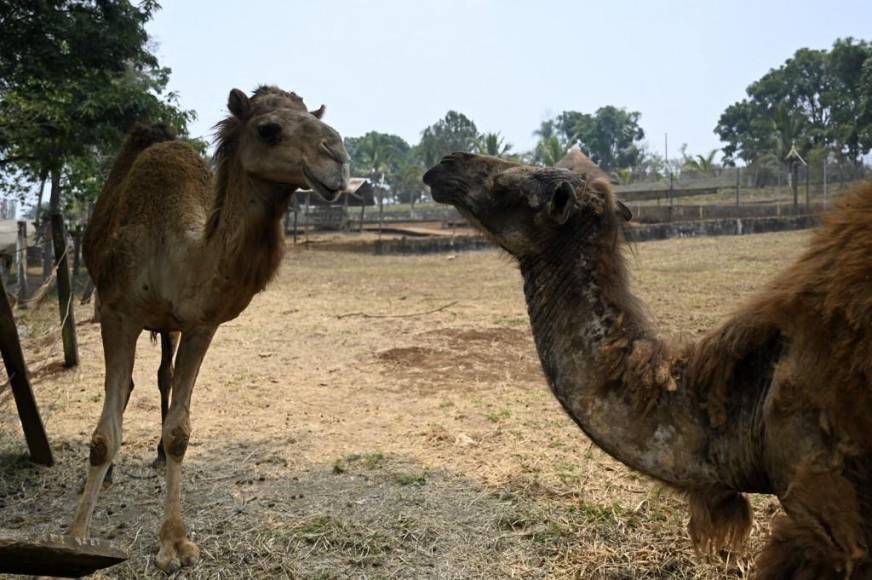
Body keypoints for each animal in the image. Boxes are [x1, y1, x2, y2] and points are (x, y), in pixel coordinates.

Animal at [71, 85, 350, 572]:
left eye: (313, 114)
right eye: (269, 129)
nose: (337, 155)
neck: (172, 250)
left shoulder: (201, 324)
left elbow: (180, 432)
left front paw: (174, 544)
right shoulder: (117, 313)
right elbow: (105, 434)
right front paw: (76, 535)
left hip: (169, 327)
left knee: (159, 376)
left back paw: (154, 458)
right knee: (125, 389)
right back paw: (108, 478)